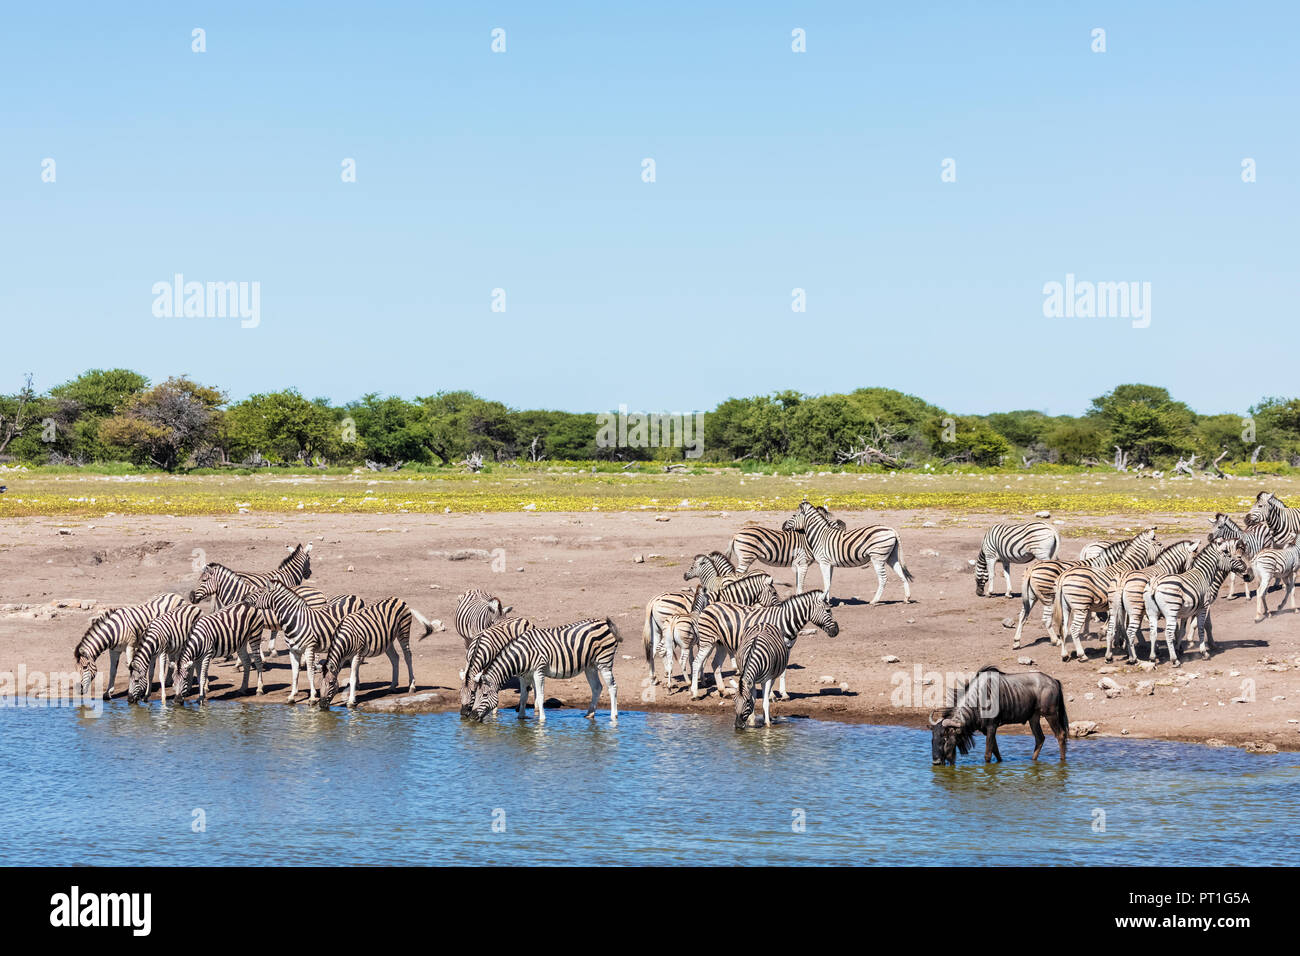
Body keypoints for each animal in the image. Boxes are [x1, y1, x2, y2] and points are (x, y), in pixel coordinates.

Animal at [470, 616, 621, 723]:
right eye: (475, 695)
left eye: (484, 695)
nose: (471, 716)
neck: (522, 655)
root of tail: (604, 622)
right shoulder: (524, 675)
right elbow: (523, 696)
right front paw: (521, 717)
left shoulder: (539, 671)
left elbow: (540, 695)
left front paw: (542, 719)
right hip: (590, 666)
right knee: (597, 688)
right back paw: (589, 714)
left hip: (604, 661)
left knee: (612, 687)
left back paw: (613, 716)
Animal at [691, 587, 842, 697]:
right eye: (828, 610)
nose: (836, 631)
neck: (785, 621)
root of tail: (711, 605)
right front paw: (771, 695)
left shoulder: (787, 648)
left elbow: (783, 672)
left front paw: (784, 694)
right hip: (707, 641)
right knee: (697, 663)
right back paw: (694, 693)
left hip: (720, 644)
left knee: (715, 664)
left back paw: (723, 691)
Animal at [780, 502, 915, 606]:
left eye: (794, 515)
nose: (782, 526)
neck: (820, 535)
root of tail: (892, 530)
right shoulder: (830, 564)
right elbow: (829, 582)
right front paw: (827, 601)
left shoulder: (824, 562)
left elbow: (826, 582)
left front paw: (822, 599)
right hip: (891, 557)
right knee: (902, 574)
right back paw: (906, 598)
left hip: (878, 557)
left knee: (883, 579)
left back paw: (874, 601)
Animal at [1050, 528, 1164, 660]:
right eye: (1159, 544)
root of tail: (1063, 576)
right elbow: (1123, 624)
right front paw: (1123, 644)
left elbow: (1118, 624)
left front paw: (1117, 642)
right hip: (1080, 604)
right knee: (1074, 629)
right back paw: (1082, 655)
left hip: (1065, 606)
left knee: (1063, 628)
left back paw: (1065, 655)